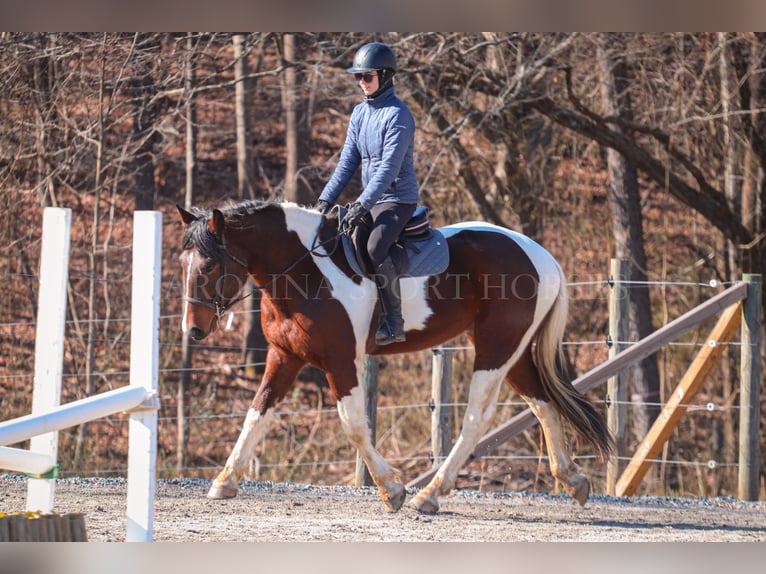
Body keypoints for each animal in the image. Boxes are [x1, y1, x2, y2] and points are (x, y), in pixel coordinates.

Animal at [177, 200, 616, 516]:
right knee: (542, 403)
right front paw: (224, 481)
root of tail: (539, 254)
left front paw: (392, 490)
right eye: (183, 264)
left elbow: (354, 425)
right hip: (515, 351)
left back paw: (430, 495)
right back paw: (573, 480)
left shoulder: (340, 361)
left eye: (210, 264)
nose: (193, 330)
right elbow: (257, 413)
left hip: (496, 349)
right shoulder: (284, 357)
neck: (305, 271)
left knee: (477, 418)